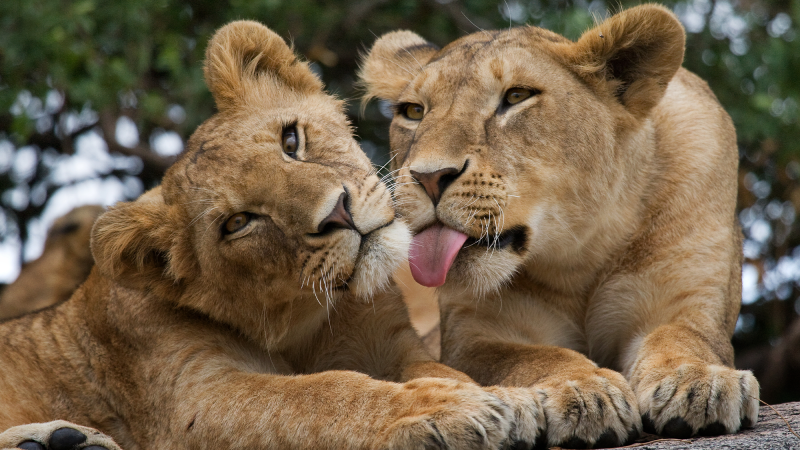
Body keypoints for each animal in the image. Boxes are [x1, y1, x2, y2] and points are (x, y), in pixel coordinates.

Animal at [0, 20, 544, 450]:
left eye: (291, 139)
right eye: (238, 223)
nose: (338, 214)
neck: (306, 324)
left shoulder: (394, 345)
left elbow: (446, 371)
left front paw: (513, 400)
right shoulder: (192, 399)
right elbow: (317, 395)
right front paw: (448, 409)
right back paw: (60, 439)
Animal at [360, 4, 760, 450]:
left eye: (516, 96)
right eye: (414, 111)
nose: (429, 177)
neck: (579, 255)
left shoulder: (688, 300)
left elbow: (683, 337)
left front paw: (699, 382)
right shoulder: (473, 336)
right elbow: (534, 356)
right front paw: (586, 392)